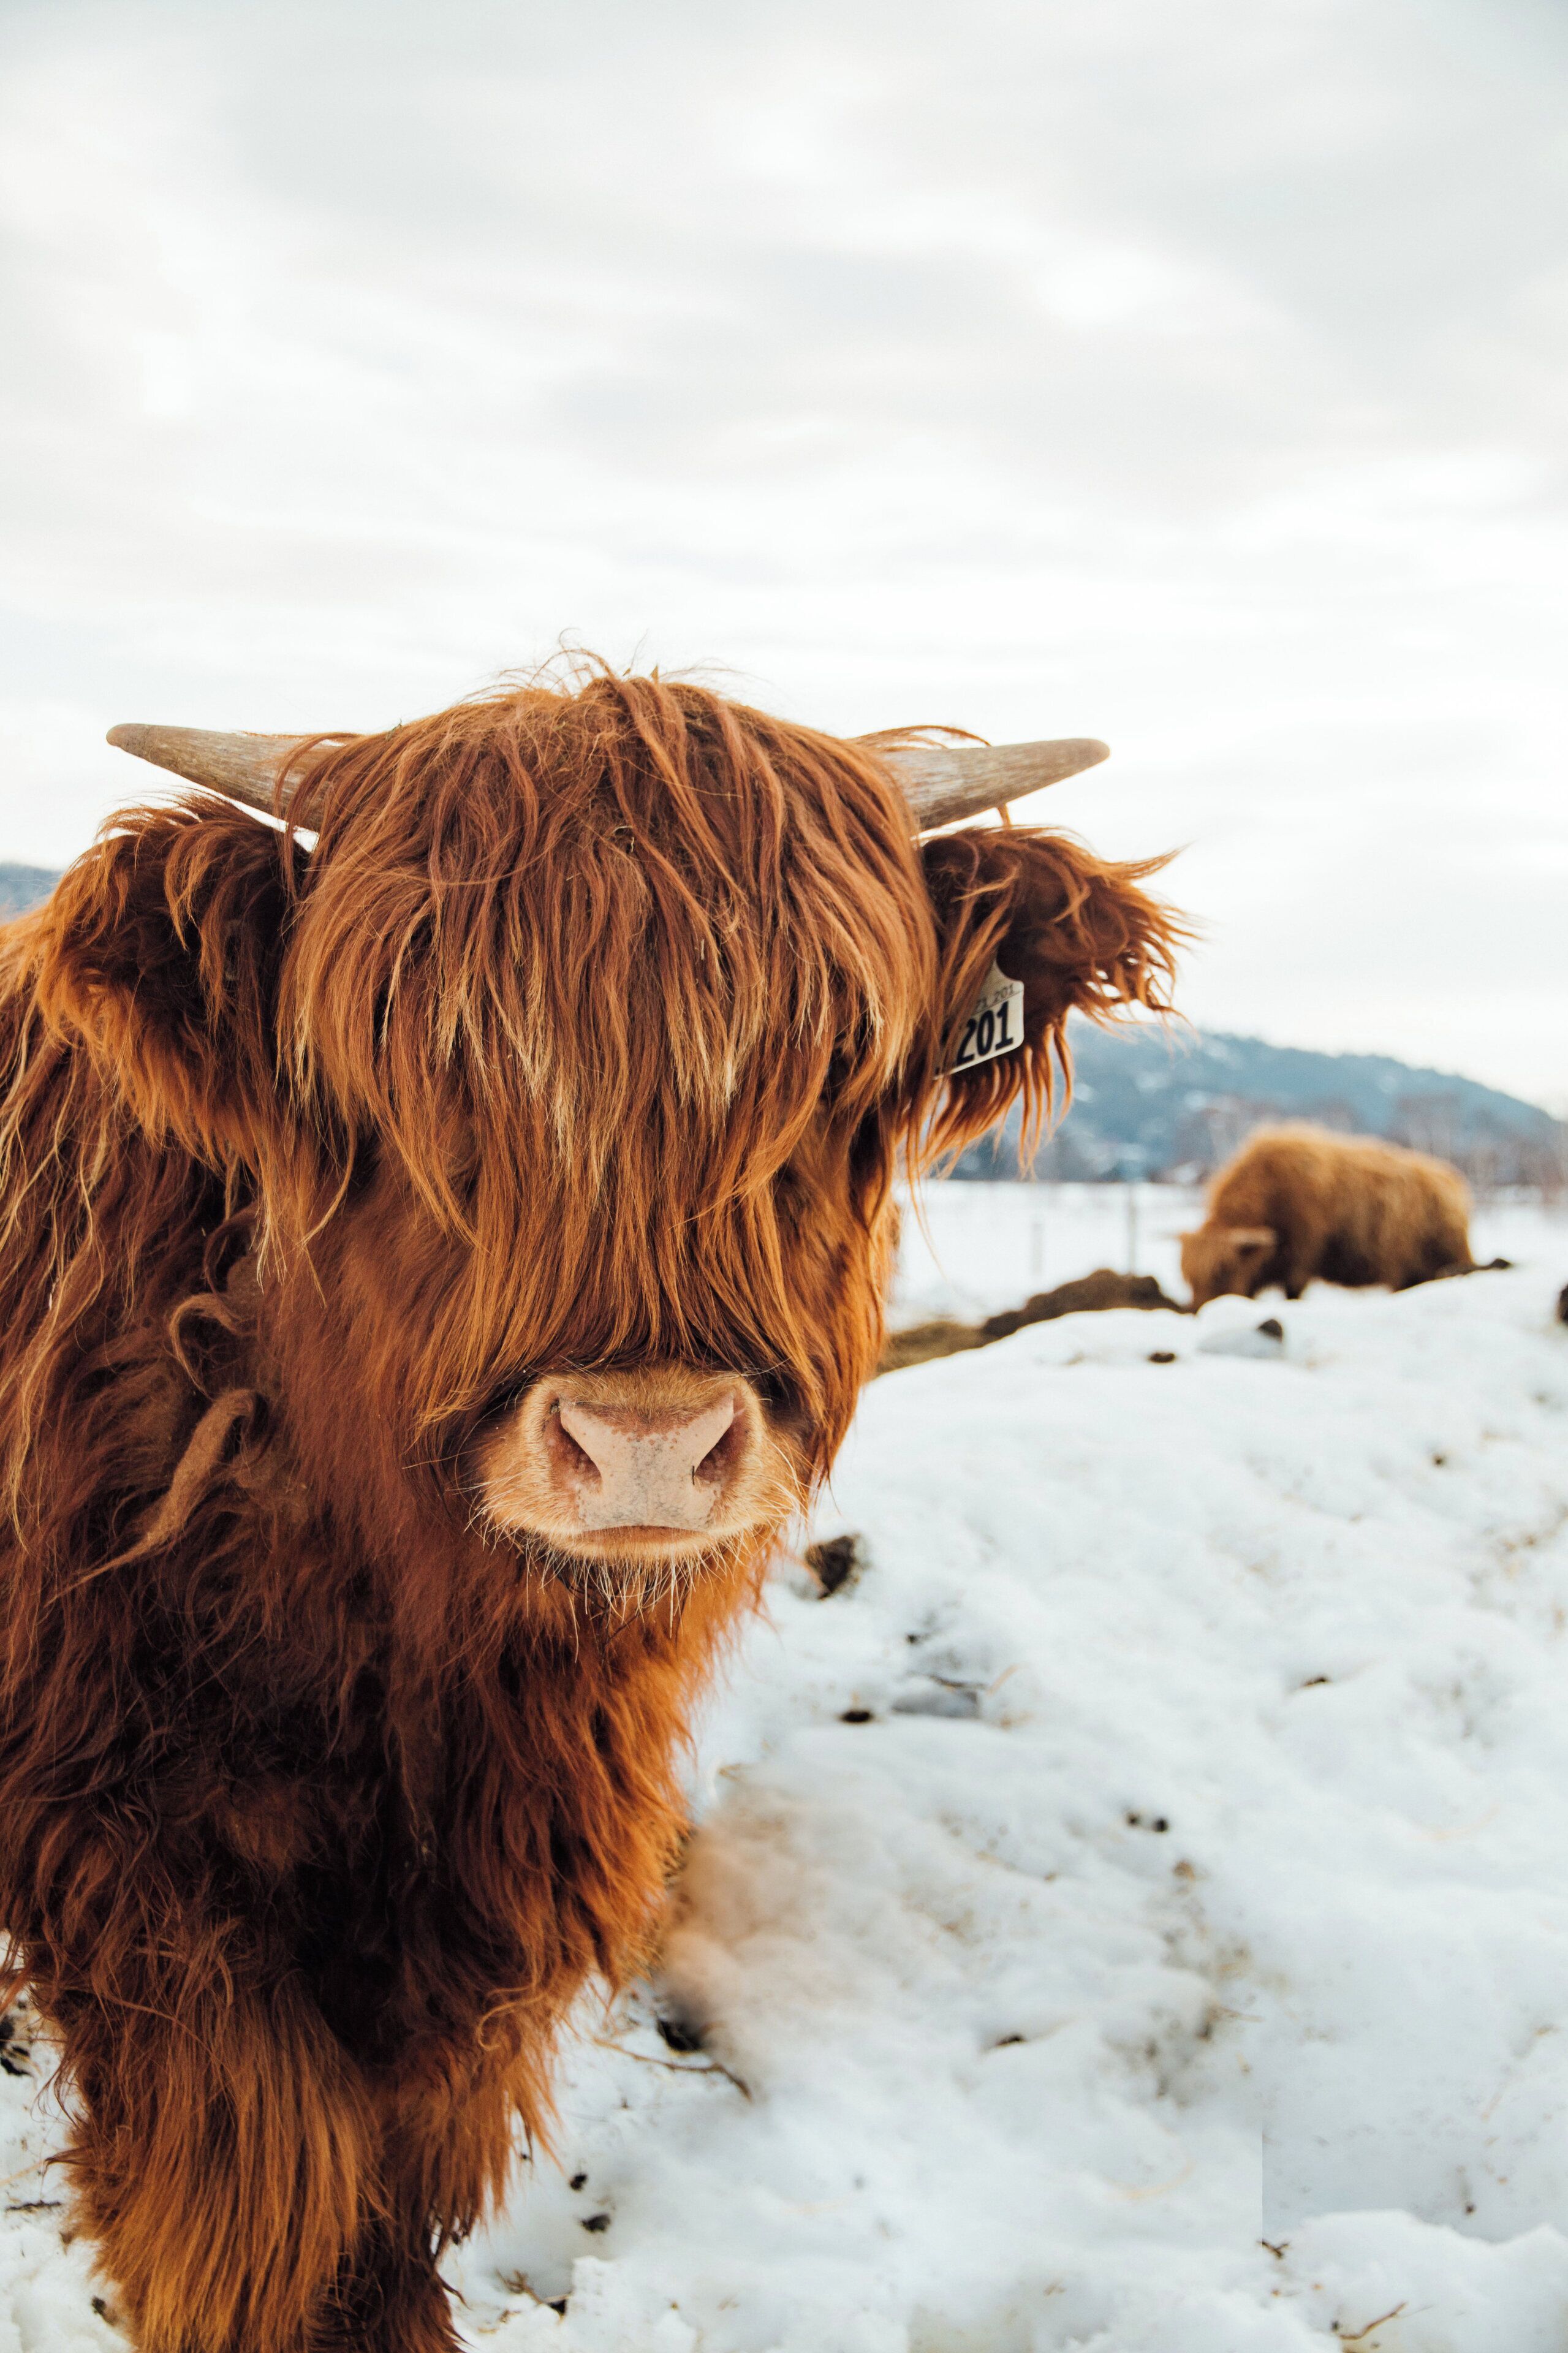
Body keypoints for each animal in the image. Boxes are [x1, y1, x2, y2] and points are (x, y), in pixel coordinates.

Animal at [0, 671, 1180, 2352]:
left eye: (831, 1066)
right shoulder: (119, 1825)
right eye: (415, 1066)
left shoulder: (508, 1851)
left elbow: (386, 2176)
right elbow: (260, 2187)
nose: (644, 1444)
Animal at [1180, 1124, 1475, 1308]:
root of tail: (1450, 1180)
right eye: (1187, 1277)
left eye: (1223, 1271)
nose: (1198, 1311)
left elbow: (1294, 1292)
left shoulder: (1302, 1256)